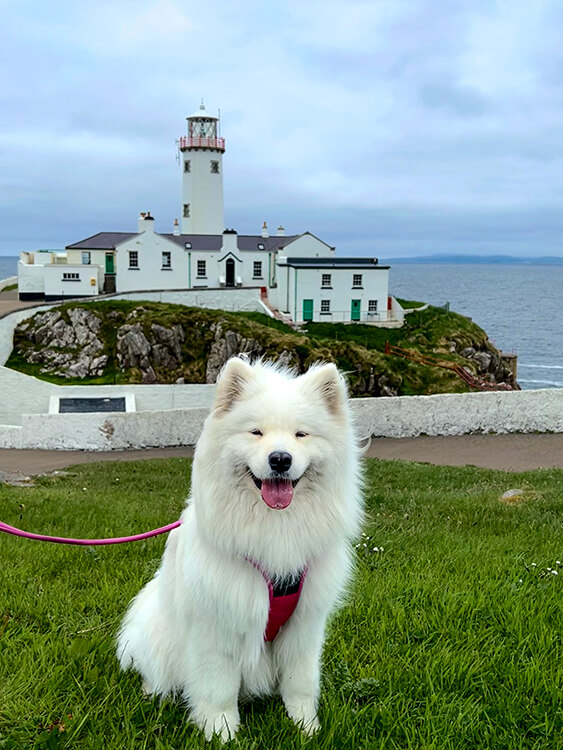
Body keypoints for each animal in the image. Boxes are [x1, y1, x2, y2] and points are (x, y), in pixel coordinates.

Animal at [117, 360, 364, 748]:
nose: (280, 459)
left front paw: (306, 727)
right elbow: (218, 688)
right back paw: (153, 694)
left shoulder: (305, 625)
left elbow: (301, 682)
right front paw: (221, 732)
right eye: (256, 432)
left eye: (301, 435)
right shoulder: (218, 624)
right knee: (156, 674)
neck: (274, 528)